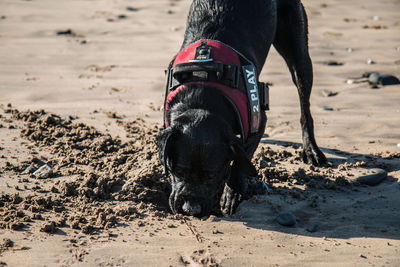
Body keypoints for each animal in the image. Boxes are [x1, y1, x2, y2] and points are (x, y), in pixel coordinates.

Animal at [155, 0, 324, 218]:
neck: (203, 95)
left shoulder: (258, 121)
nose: (190, 210)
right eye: (178, 170)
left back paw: (311, 149)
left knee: (305, 104)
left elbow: (242, 160)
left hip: (298, 51)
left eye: (213, 175)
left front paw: (232, 193)